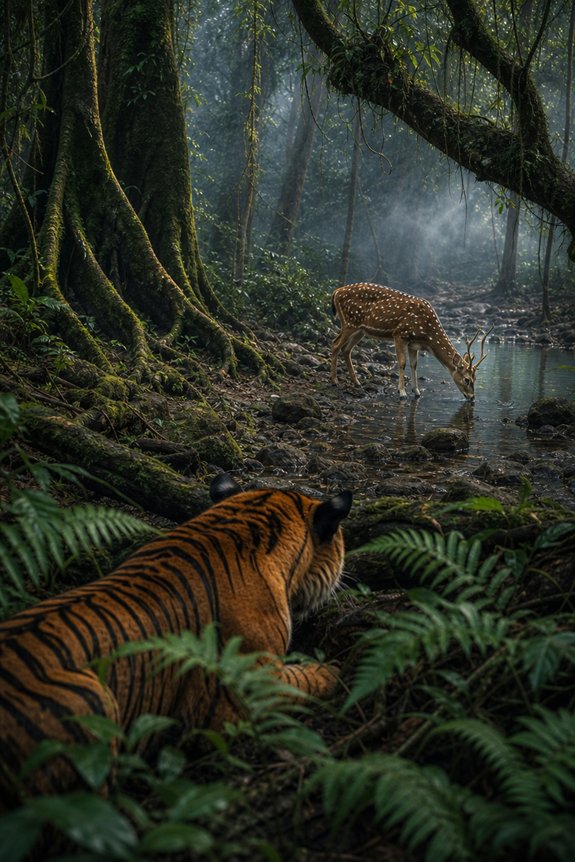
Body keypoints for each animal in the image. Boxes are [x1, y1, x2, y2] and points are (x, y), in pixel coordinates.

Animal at [330, 282, 491, 400]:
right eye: (467, 379)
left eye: (475, 378)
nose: (472, 397)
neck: (427, 336)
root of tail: (336, 292)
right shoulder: (400, 334)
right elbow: (402, 363)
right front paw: (402, 393)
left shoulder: (414, 344)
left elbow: (414, 365)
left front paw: (417, 391)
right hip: (350, 323)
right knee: (335, 344)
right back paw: (335, 381)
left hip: (360, 330)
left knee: (346, 349)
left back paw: (356, 382)